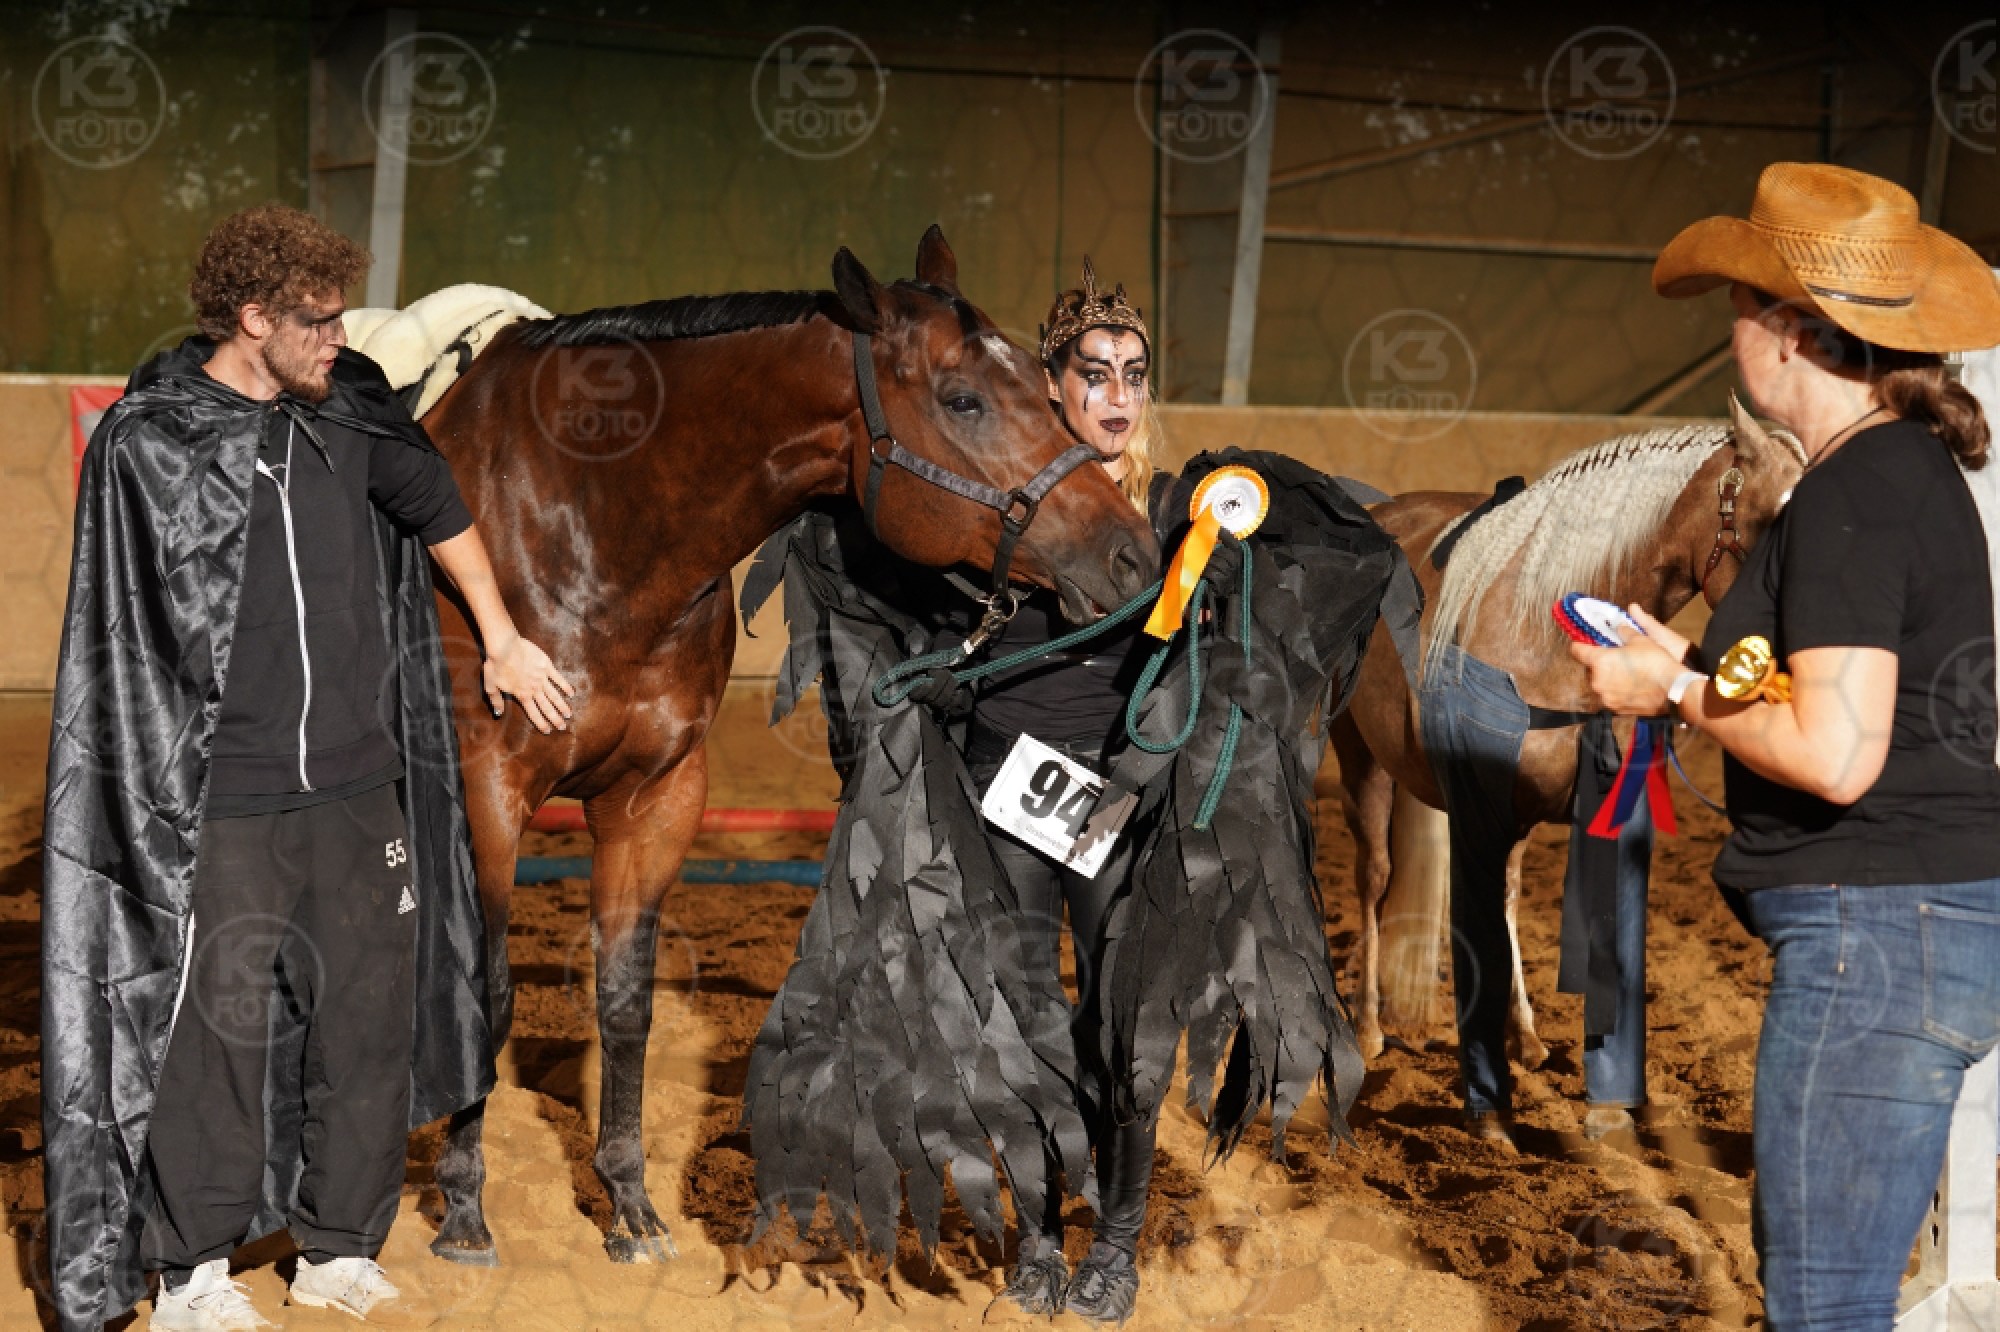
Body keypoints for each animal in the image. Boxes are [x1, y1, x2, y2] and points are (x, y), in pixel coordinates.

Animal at [412, 227, 1161, 1264]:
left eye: (1045, 389)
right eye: (963, 399)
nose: (1135, 554)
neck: (585, 520)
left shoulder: (656, 799)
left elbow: (626, 1002)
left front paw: (630, 1206)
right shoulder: (486, 793)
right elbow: (484, 997)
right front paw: (463, 1213)